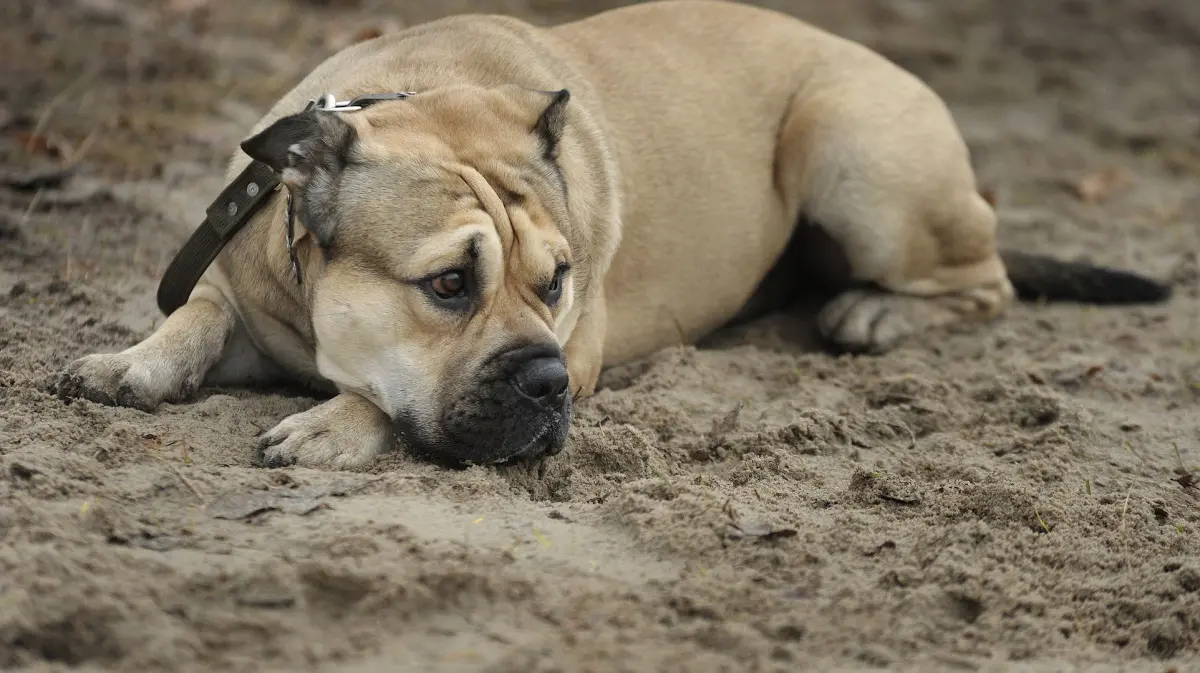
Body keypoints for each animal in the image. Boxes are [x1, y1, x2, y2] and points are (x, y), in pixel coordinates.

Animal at [56, 0, 1171, 470]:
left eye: (560, 282)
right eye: (448, 284)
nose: (547, 381)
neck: (421, 97)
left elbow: (378, 394)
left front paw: (337, 423)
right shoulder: (243, 286)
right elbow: (197, 316)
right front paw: (132, 361)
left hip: (849, 144)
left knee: (986, 282)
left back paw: (876, 313)